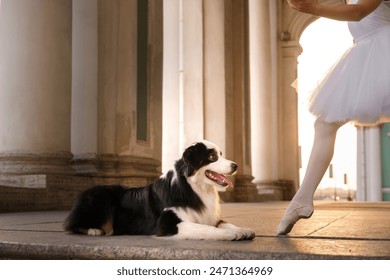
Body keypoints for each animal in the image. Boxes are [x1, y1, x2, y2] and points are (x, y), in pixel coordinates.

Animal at [62, 140, 254, 241]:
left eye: (221, 154)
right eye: (212, 157)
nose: (236, 165)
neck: (194, 188)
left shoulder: (211, 217)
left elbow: (224, 223)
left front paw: (242, 229)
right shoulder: (168, 223)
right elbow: (206, 229)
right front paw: (232, 234)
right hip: (101, 199)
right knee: (71, 225)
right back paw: (94, 230)